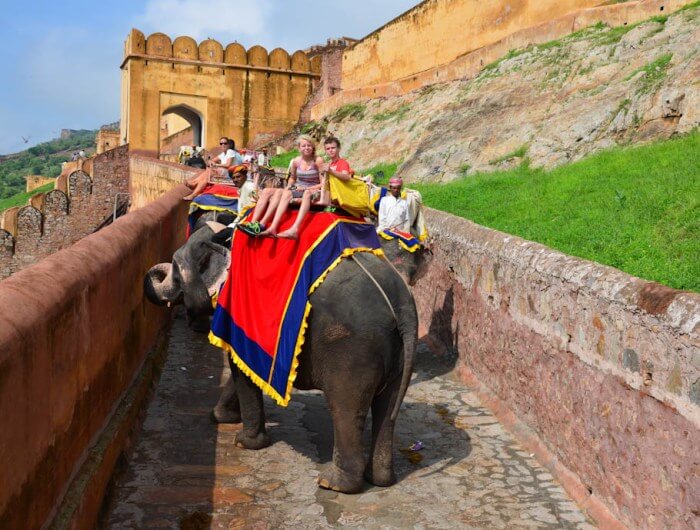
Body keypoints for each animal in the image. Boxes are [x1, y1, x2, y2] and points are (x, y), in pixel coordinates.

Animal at [144, 221, 430, 493]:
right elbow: (243, 368)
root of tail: (403, 306)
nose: (158, 273)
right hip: (398, 352)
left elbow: (238, 368)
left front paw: (242, 440)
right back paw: (380, 479)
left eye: (176, 270)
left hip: (353, 349)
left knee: (346, 408)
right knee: (387, 408)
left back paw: (334, 483)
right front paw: (221, 417)